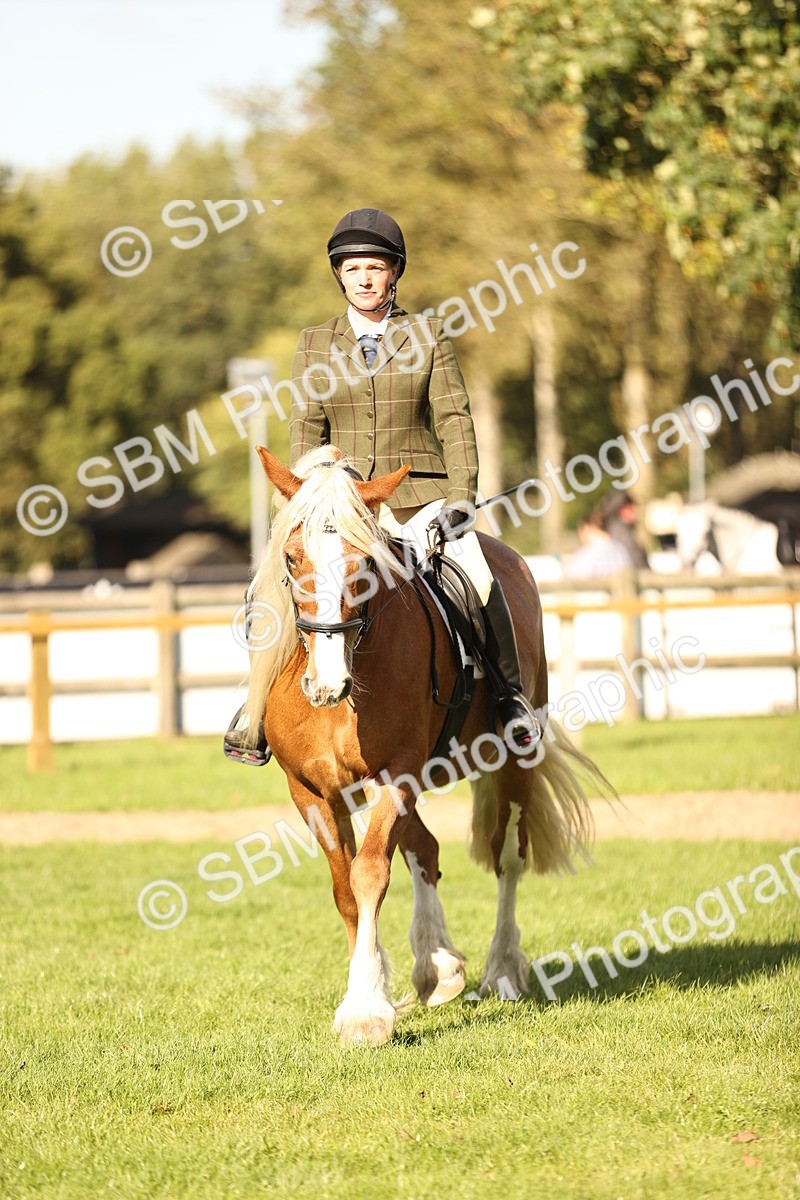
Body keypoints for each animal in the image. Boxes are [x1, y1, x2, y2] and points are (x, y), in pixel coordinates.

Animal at [240, 446, 609, 1047]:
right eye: (291, 560)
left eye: (363, 566)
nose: (326, 685)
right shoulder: (313, 790)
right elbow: (346, 886)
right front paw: (374, 988)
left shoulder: (398, 772)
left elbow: (370, 873)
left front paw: (365, 1011)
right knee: (425, 850)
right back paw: (436, 965)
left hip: (515, 760)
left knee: (508, 856)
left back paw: (502, 969)